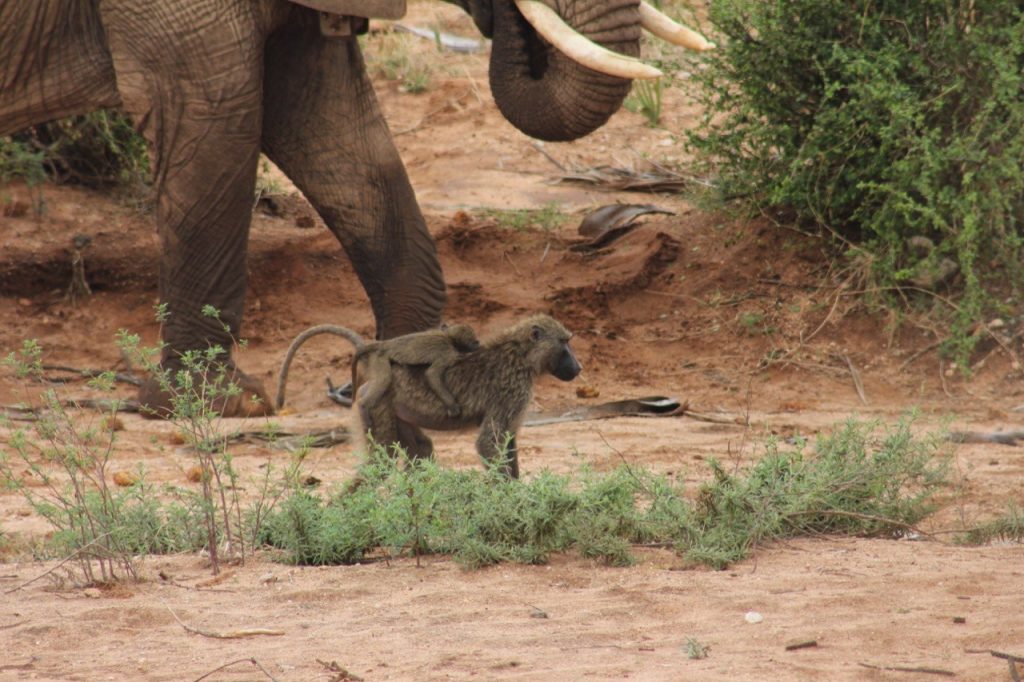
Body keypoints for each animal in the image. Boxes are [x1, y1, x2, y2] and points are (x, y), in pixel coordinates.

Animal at [275, 323, 479, 415]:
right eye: (473, 339)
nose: (477, 343)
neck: (451, 339)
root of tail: (384, 344)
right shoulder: (448, 354)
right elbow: (432, 375)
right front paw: (452, 405)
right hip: (378, 359)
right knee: (383, 379)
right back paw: (364, 407)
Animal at [358, 314, 582, 479]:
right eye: (564, 342)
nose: (579, 367)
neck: (521, 355)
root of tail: (368, 386)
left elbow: (508, 441)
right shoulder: (513, 392)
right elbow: (488, 443)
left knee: (421, 450)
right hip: (378, 406)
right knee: (381, 462)